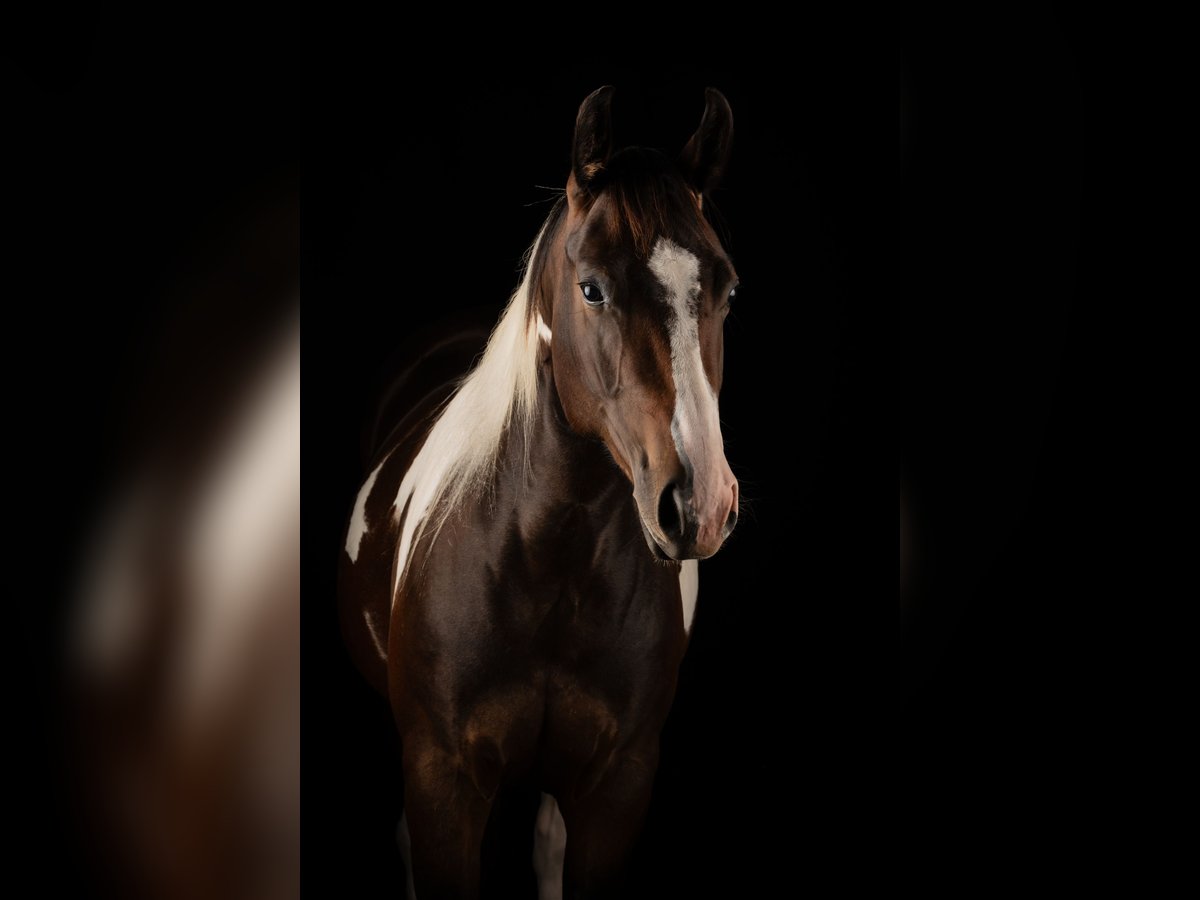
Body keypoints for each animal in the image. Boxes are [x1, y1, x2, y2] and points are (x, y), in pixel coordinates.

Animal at [340, 86, 740, 899]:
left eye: (726, 289)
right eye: (592, 288)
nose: (701, 504)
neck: (553, 556)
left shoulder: (616, 787)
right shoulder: (443, 780)